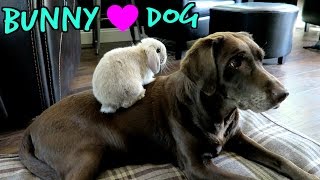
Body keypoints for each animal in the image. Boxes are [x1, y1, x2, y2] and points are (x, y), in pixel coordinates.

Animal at [19, 32, 318, 180]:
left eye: (260, 56)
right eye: (235, 62)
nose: (283, 94)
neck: (215, 114)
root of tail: (32, 125)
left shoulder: (239, 139)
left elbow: (282, 159)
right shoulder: (197, 167)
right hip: (88, 153)